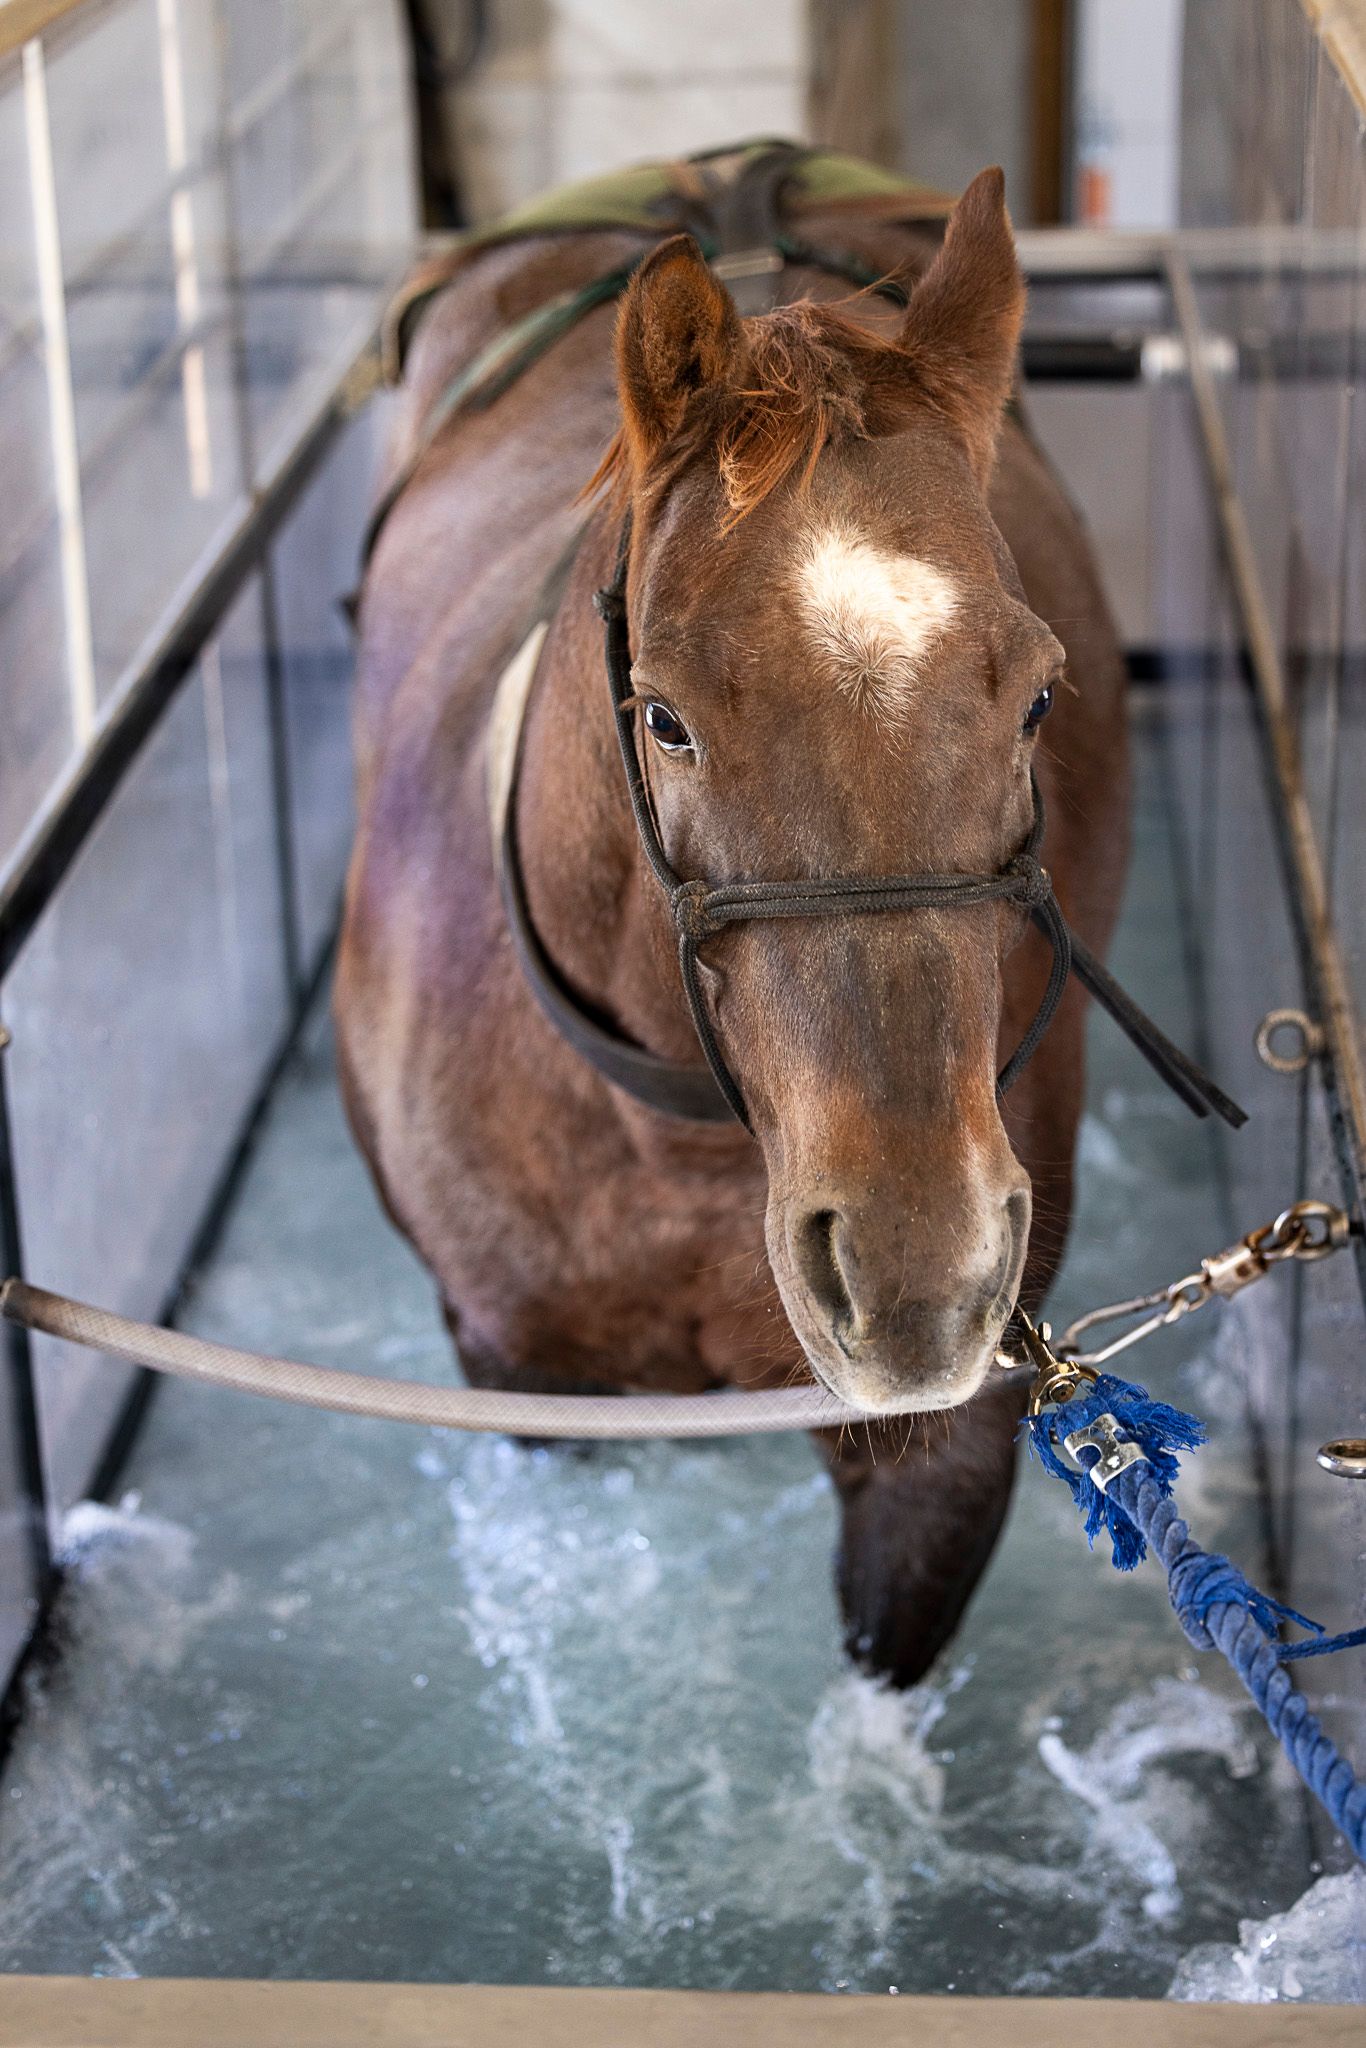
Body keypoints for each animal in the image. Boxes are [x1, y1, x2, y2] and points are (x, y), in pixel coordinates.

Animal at [335, 164, 1129, 1685]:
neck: (678, 1139)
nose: (917, 1268)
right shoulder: (528, 1386)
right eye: (663, 716)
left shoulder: (939, 1454)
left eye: (1037, 699)